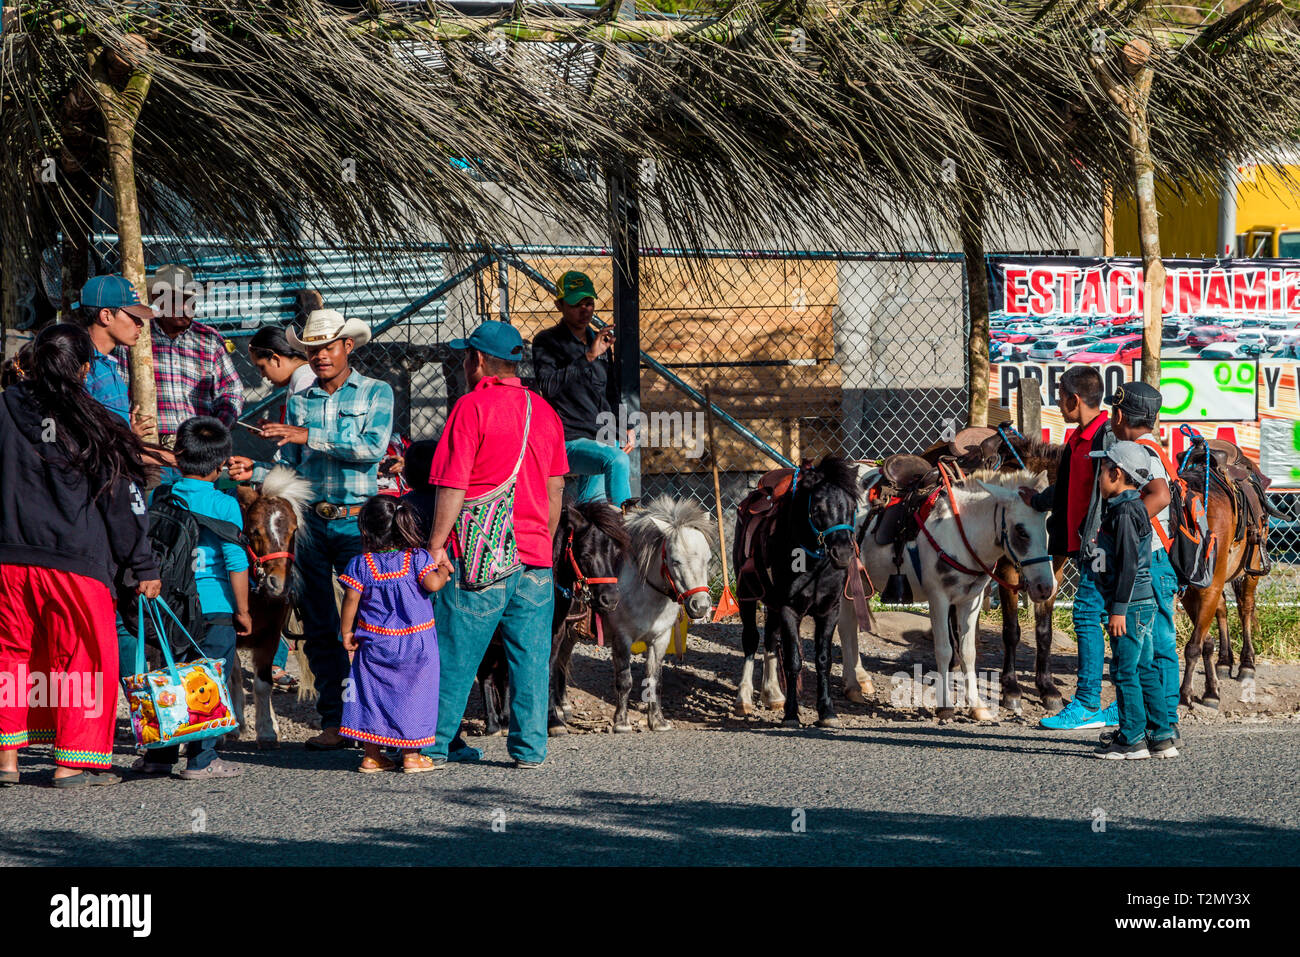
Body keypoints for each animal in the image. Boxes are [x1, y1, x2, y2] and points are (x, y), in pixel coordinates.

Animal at [228, 462, 309, 748]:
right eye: (254, 531)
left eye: (293, 530)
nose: (279, 583)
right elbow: (232, 674)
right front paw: (235, 726)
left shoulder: (271, 634)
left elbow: (263, 683)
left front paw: (267, 730)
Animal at [738, 455, 857, 722]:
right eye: (817, 508)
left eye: (852, 507)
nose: (843, 553)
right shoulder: (788, 609)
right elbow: (793, 660)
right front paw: (791, 713)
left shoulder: (829, 611)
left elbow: (823, 660)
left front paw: (826, 711)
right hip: (747, 595)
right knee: (751, 639)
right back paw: (744, 698)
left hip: (771, 603)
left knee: (770, 639)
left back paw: (772, 694)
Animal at [842, 468, 1055, 722]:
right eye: (1021, 531)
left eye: (1048, 528)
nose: (1045, 587)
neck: (960, 534)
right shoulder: (938, 599)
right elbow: (944, 650)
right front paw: (945, 706)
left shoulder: (970, 600)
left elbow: (968, 652)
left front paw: (977, 706)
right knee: (844, 626)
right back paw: (853, 685)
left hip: (861, 584)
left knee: (850, 625)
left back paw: (859, 681)